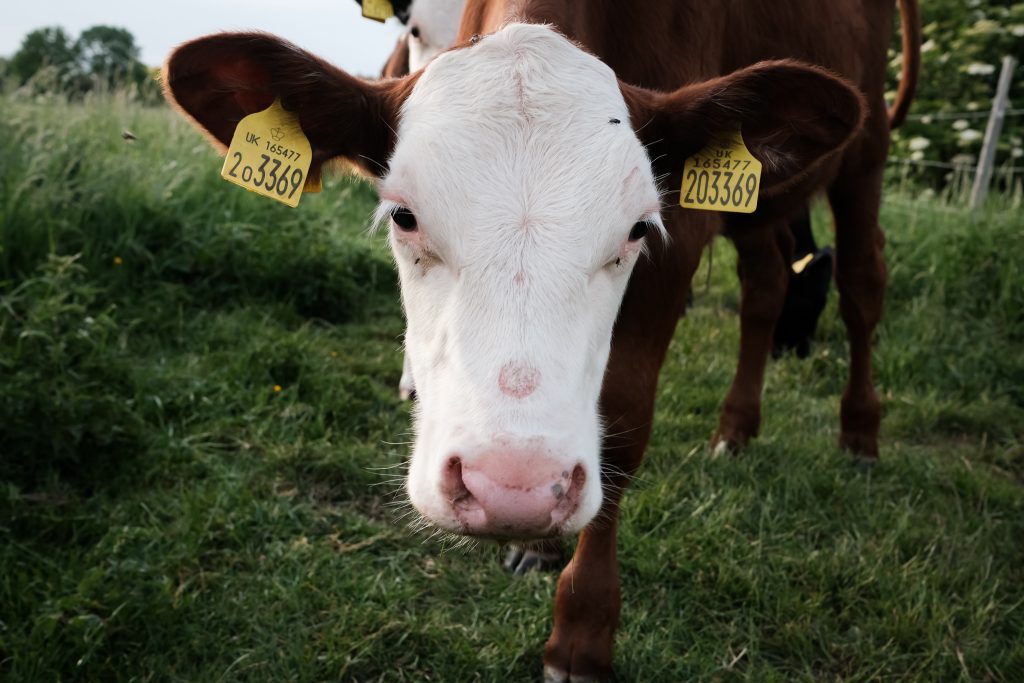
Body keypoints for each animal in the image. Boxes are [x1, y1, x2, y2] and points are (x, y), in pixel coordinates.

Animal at [163, 0, 920, 679]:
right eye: (403, 215)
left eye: (637, 229)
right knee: (766, 284)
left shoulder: (679, 245)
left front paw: (581, 632)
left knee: (861, 282)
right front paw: (545, 550)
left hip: (867, 156)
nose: (512, 489)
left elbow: (623, 424)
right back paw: (737, 427)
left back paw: (861, 434)